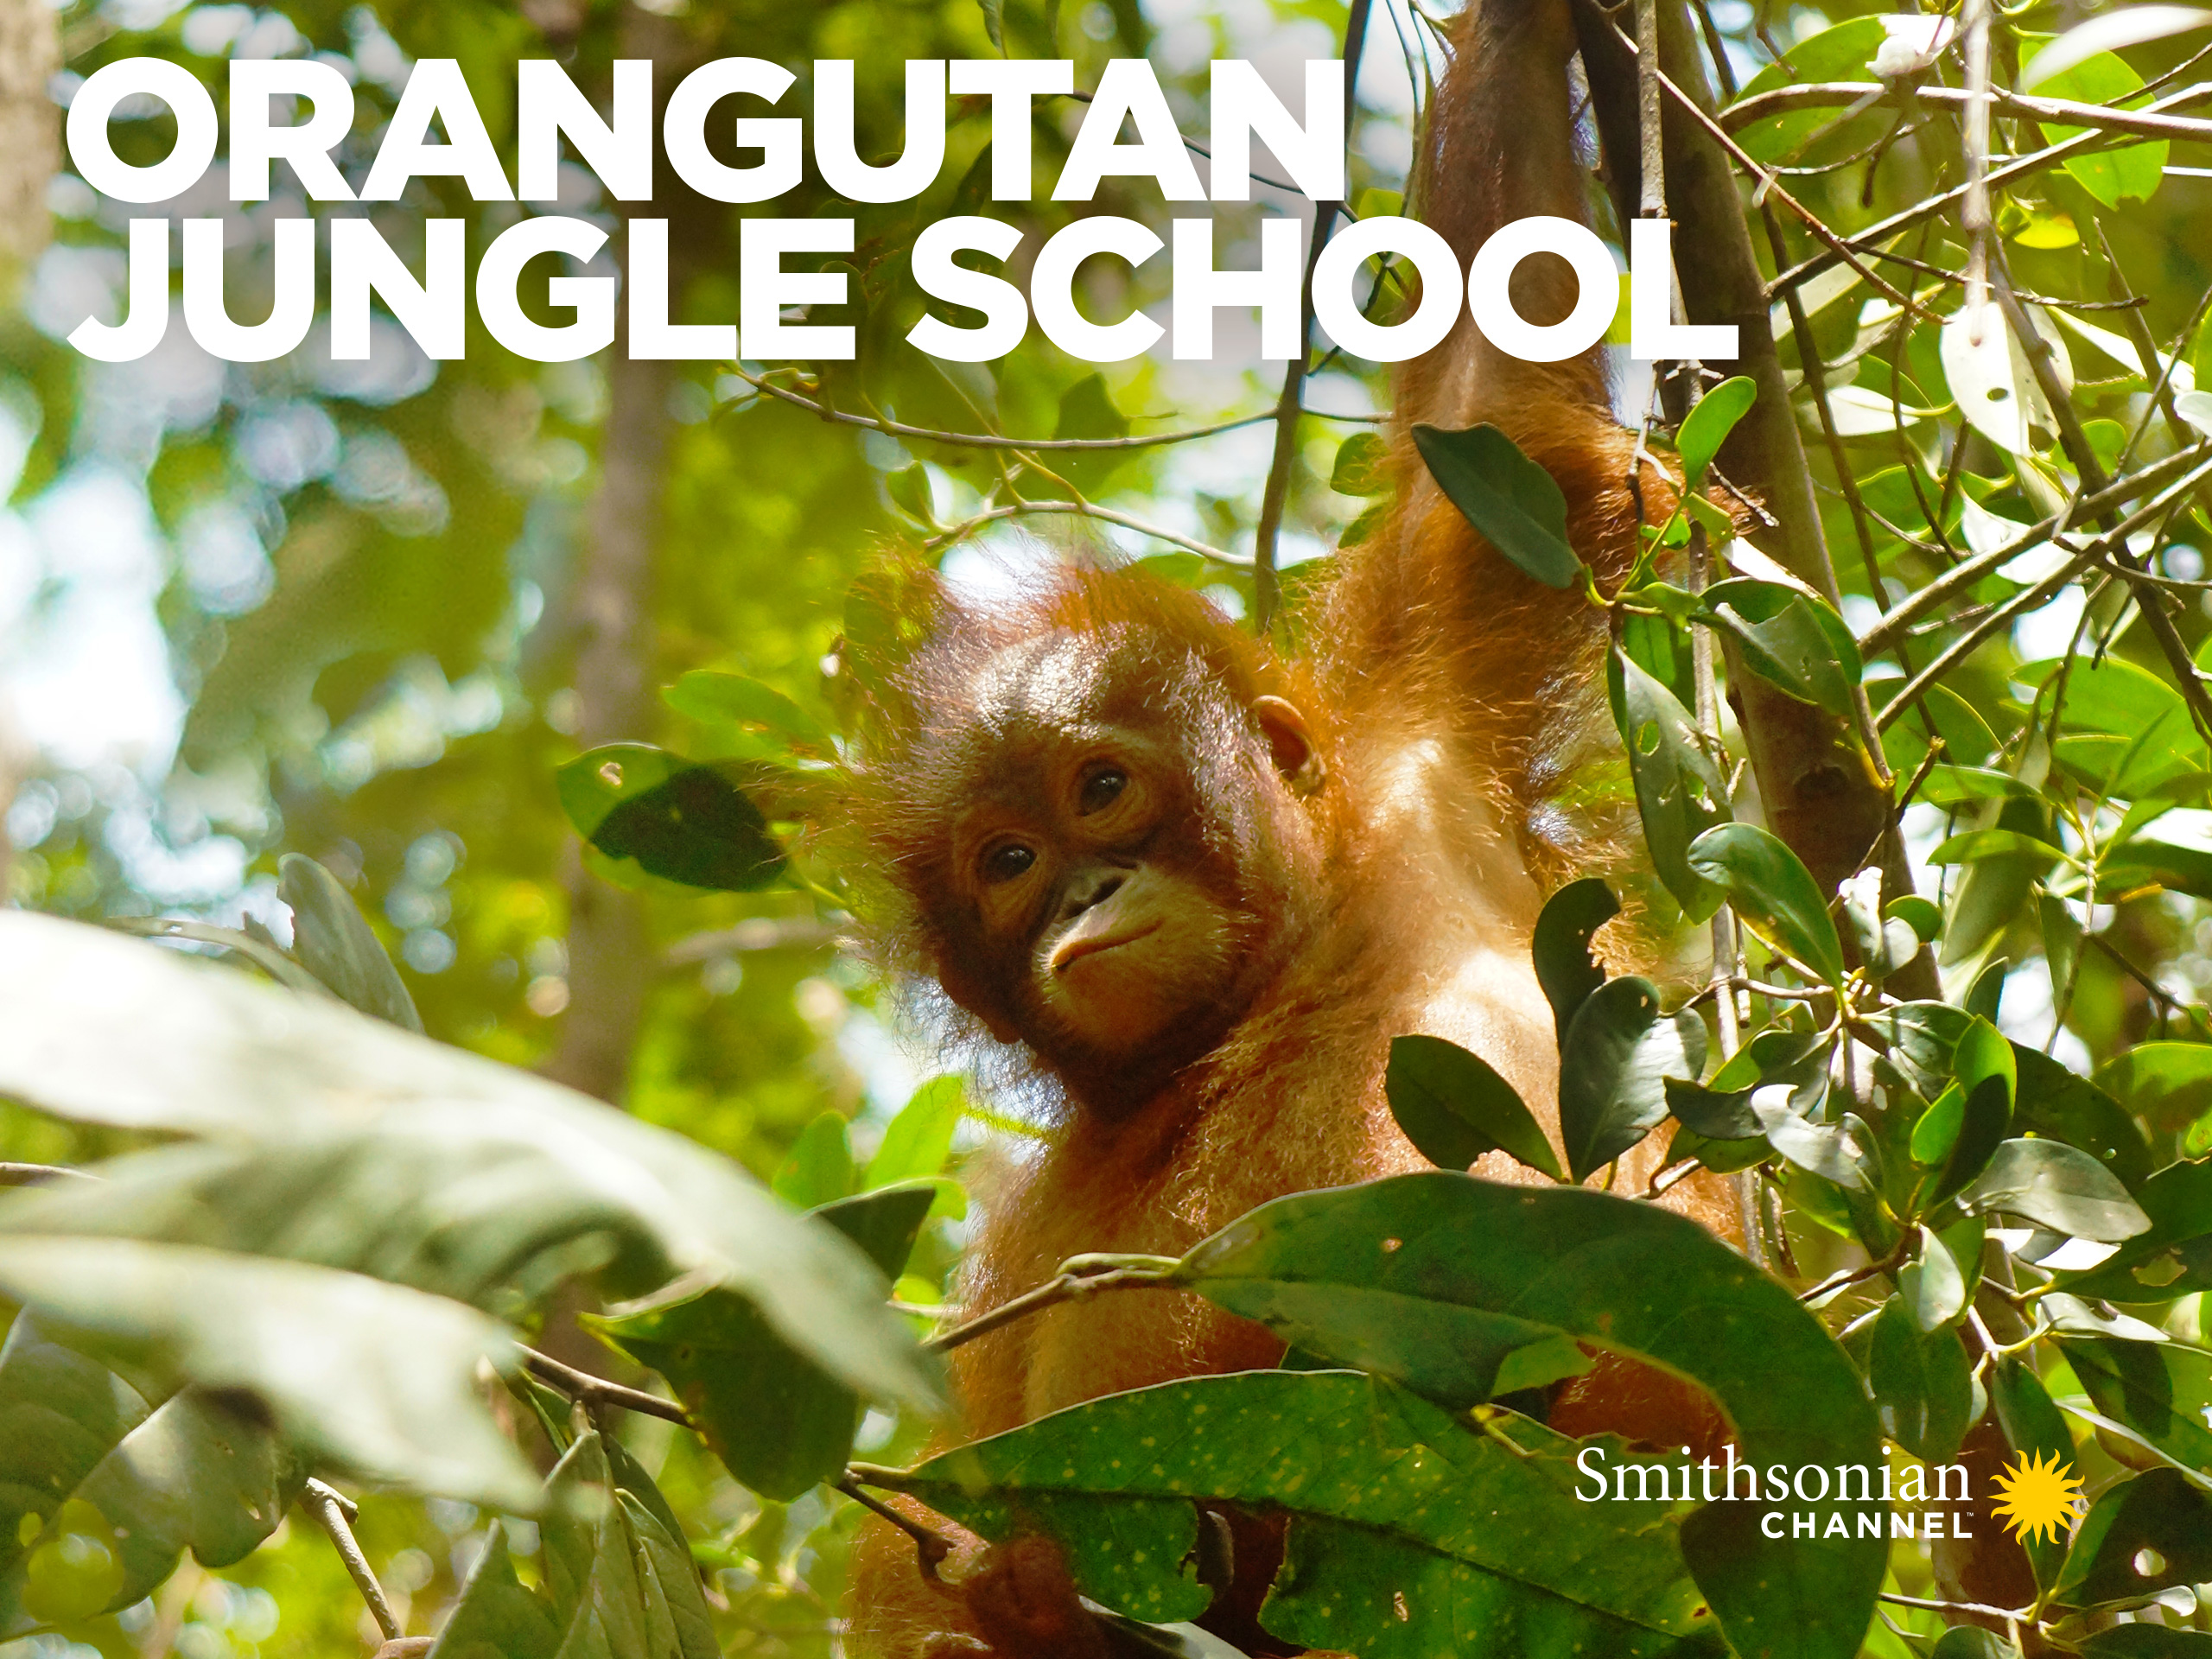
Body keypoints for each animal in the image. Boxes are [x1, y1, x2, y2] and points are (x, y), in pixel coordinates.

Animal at [839, 0, 1736, 1651]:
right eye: (1008, 864)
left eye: (1100, 790)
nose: (1085, 894)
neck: (1273, 978)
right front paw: (1001, 1583)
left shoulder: (1418, 756)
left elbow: (1489, 407)